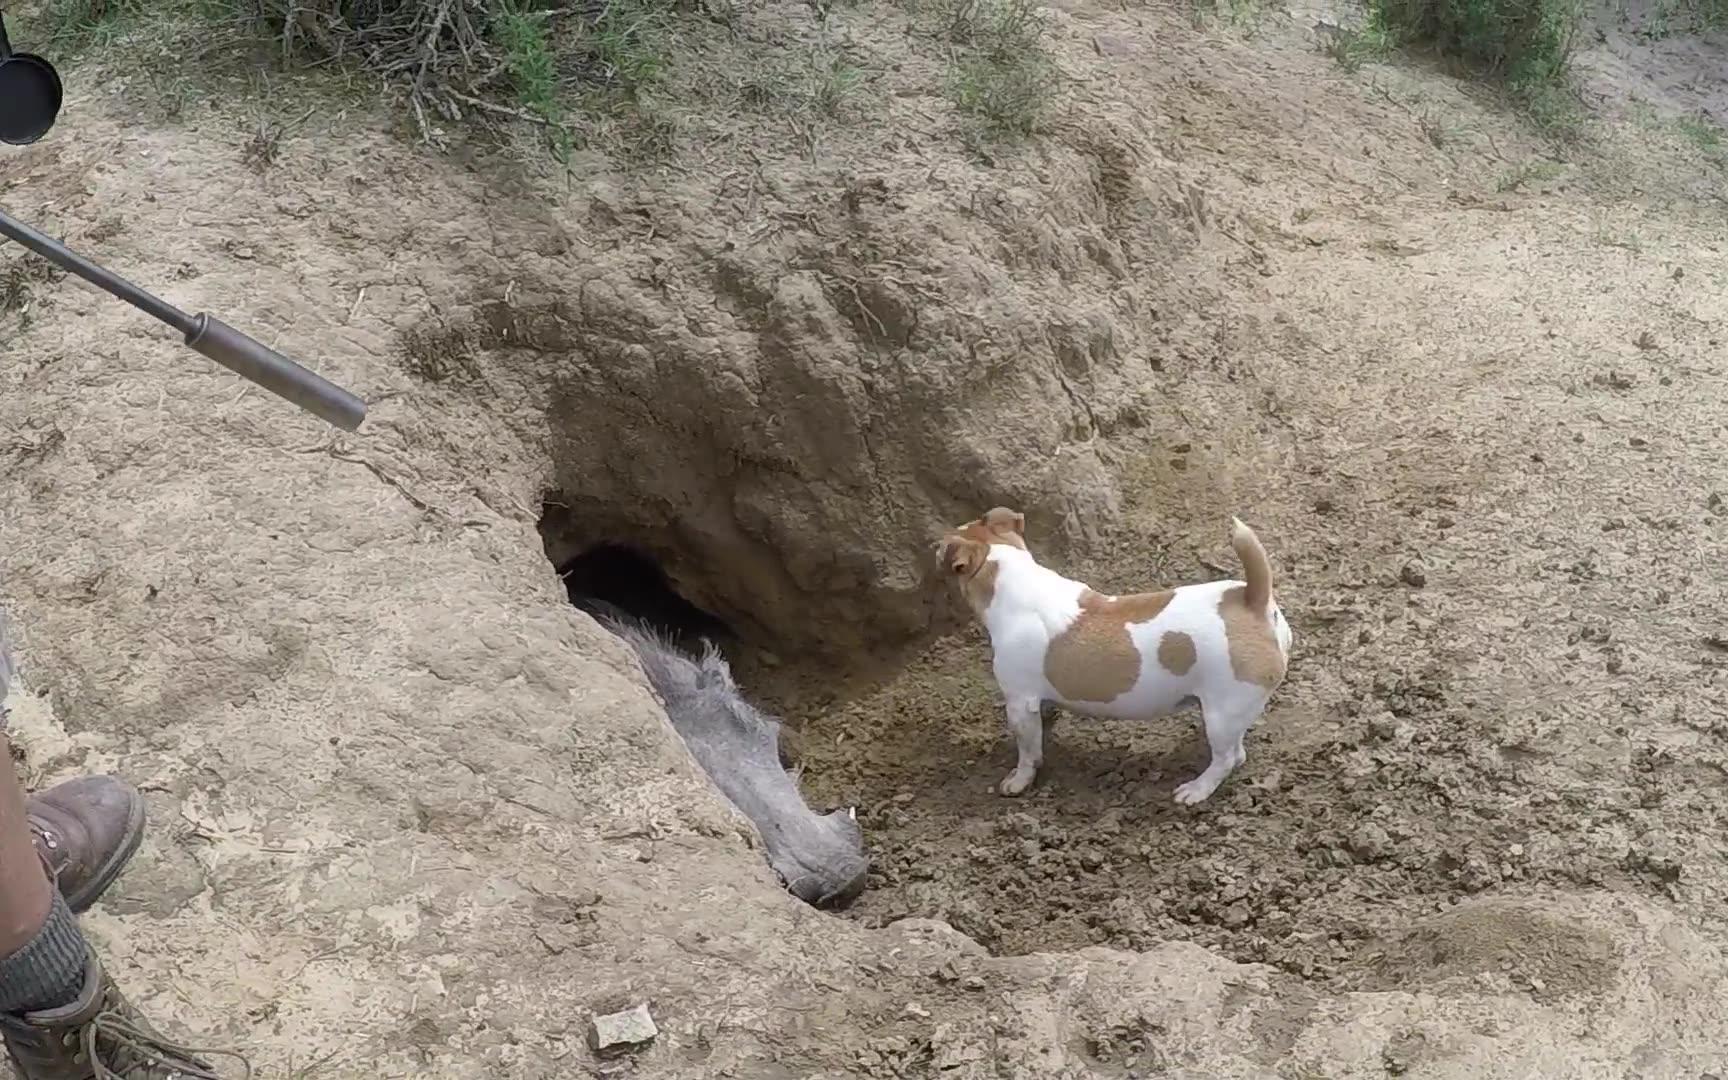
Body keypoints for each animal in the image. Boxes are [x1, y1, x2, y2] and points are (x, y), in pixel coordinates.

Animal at [940, 508, 1292, 805]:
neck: (1011, 576)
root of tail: (1253, 599)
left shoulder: (1019, 702)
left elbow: (1027, 751)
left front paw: (1018, 780)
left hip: (1221, 714)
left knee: (1226, 759)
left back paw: (1196, 789)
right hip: (1228, 711)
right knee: (1237, 750)